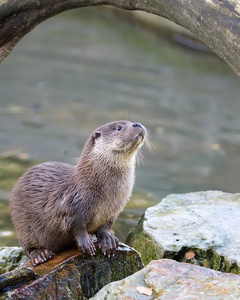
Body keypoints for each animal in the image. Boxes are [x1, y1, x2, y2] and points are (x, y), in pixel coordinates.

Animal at [10, 119, 147, 264]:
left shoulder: (113, 211)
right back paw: (41, 254)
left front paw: (107, 240)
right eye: (119, 128)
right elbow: (77, 226)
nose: (137, 124)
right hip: (23, 228)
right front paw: (86, 243)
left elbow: (105, 227)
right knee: (27, 248)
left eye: (130, 122)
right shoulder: (73, 205)